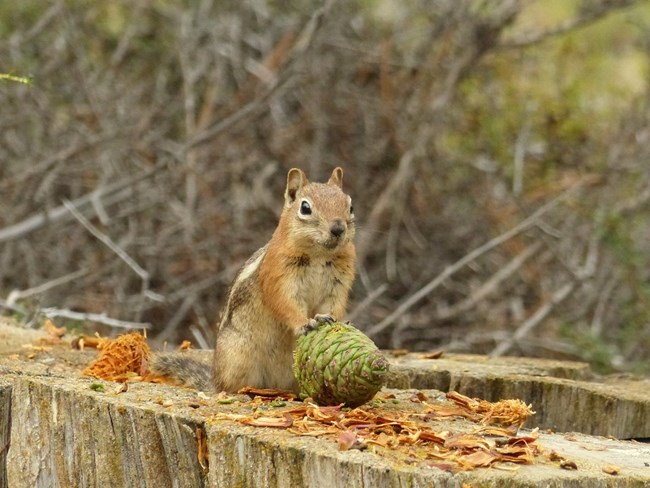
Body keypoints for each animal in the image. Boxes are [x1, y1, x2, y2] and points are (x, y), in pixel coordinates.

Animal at [152, 168, 354, 392]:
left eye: (350, 205)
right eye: (305, 207)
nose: (338, 229)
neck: (319, 254)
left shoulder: (339, 284)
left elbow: (335, 304)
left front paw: (335, 321)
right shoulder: (279, 277)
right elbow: (286, 304)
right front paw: (307, 323)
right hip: (238, 355)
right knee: (232, 385)